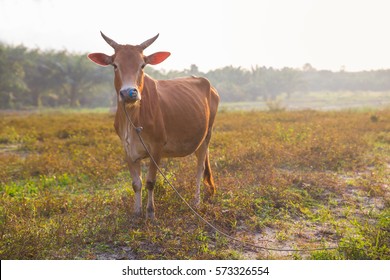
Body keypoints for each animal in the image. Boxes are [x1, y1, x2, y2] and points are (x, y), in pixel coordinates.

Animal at [88, 32, 219, 219]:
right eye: (115, 65)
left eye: (142, 65)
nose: (128, 93)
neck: (133, 116)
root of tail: (208, 84)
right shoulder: (127, 149)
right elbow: (136, 183)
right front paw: (137, 212)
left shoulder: (157, 147)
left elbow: (150, 182)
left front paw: (150, 212)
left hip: (207, 136)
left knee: (200, 168)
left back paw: (196, 201)